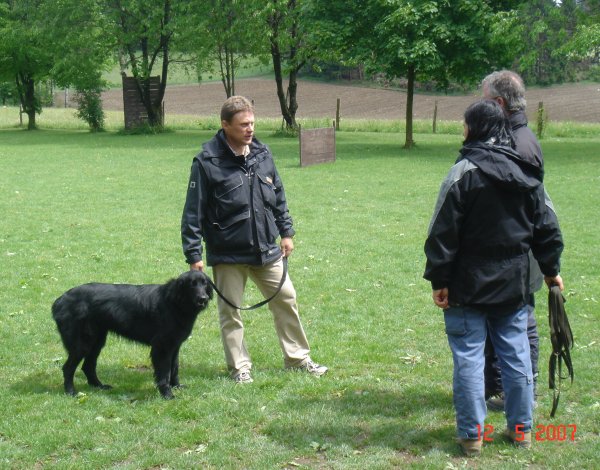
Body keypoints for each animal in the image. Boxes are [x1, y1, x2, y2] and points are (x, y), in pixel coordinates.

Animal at [51, 270, 213, 398]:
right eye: (192, 284)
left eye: (204, 283)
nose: (203, 299)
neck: (174, 303)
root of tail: (59, 300)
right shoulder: (162, 347)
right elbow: (164, 372)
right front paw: (167, 394)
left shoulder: (174, 346)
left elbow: (174, 369)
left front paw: (177, 386)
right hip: (82, 343)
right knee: (68, 368)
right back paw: (71, 392)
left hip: (97, 341)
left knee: (88, 366)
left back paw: (99, 386)